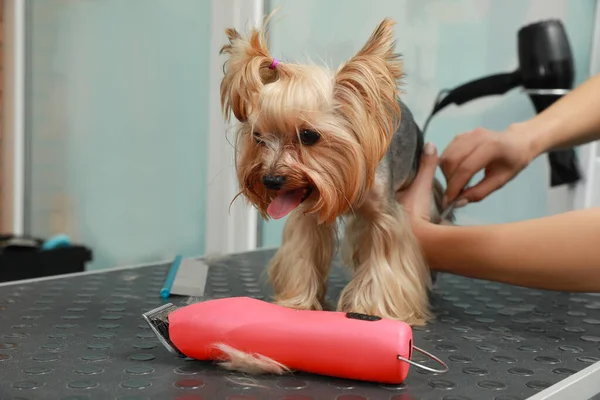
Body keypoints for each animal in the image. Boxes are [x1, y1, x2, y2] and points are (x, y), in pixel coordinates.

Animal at [219, 14, 450, 332]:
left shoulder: (384, 217)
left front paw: (372, 309)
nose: (271, 180)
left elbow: (384, 258)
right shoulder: (309, 216)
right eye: (258, 137)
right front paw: (298, 302)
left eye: (308, 135)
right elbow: (302, 252)